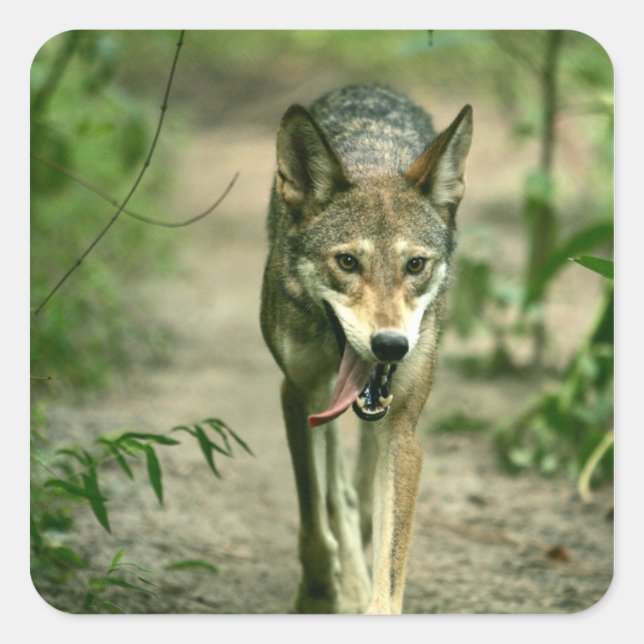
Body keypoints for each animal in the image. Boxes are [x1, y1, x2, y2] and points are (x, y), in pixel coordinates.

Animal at [260, 84, 473, 614]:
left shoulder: (401, 432)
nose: (391, 346)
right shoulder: (298, 393)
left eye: (415, 264)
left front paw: (362, 595)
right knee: (337, 492)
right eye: (347, 262)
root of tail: (370, 87)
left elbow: (390, 570)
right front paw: (319, 593)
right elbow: (316, 516)